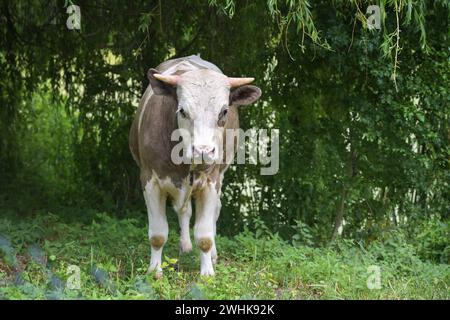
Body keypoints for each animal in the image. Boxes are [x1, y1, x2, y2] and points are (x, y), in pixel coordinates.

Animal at [128, 55, 262, 278]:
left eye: (224, 111)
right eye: (182, 110)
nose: (203, 150)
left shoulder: (211, 182)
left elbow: (205, 235)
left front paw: (207, 272)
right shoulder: (149, 180)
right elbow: (158, 234)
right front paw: (154, 270)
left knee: (215, 210)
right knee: (184, 211)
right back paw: (185, 246)